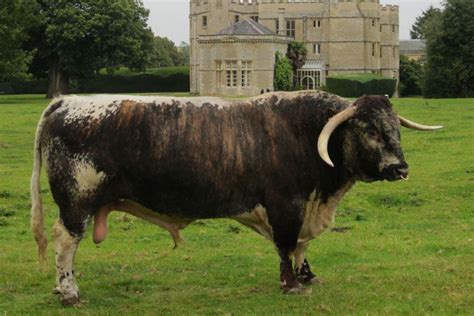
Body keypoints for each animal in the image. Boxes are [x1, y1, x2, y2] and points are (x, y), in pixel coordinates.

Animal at [31, 90, 442, 304]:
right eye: (370, 130)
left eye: (395, 128)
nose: (400, 168)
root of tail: (65, 101)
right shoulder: (286, 205)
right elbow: (287, 245)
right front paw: (291, 284)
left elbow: (302, 246)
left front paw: (307, 276)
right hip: (76, 201)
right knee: (66, 242)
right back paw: (68, 291)